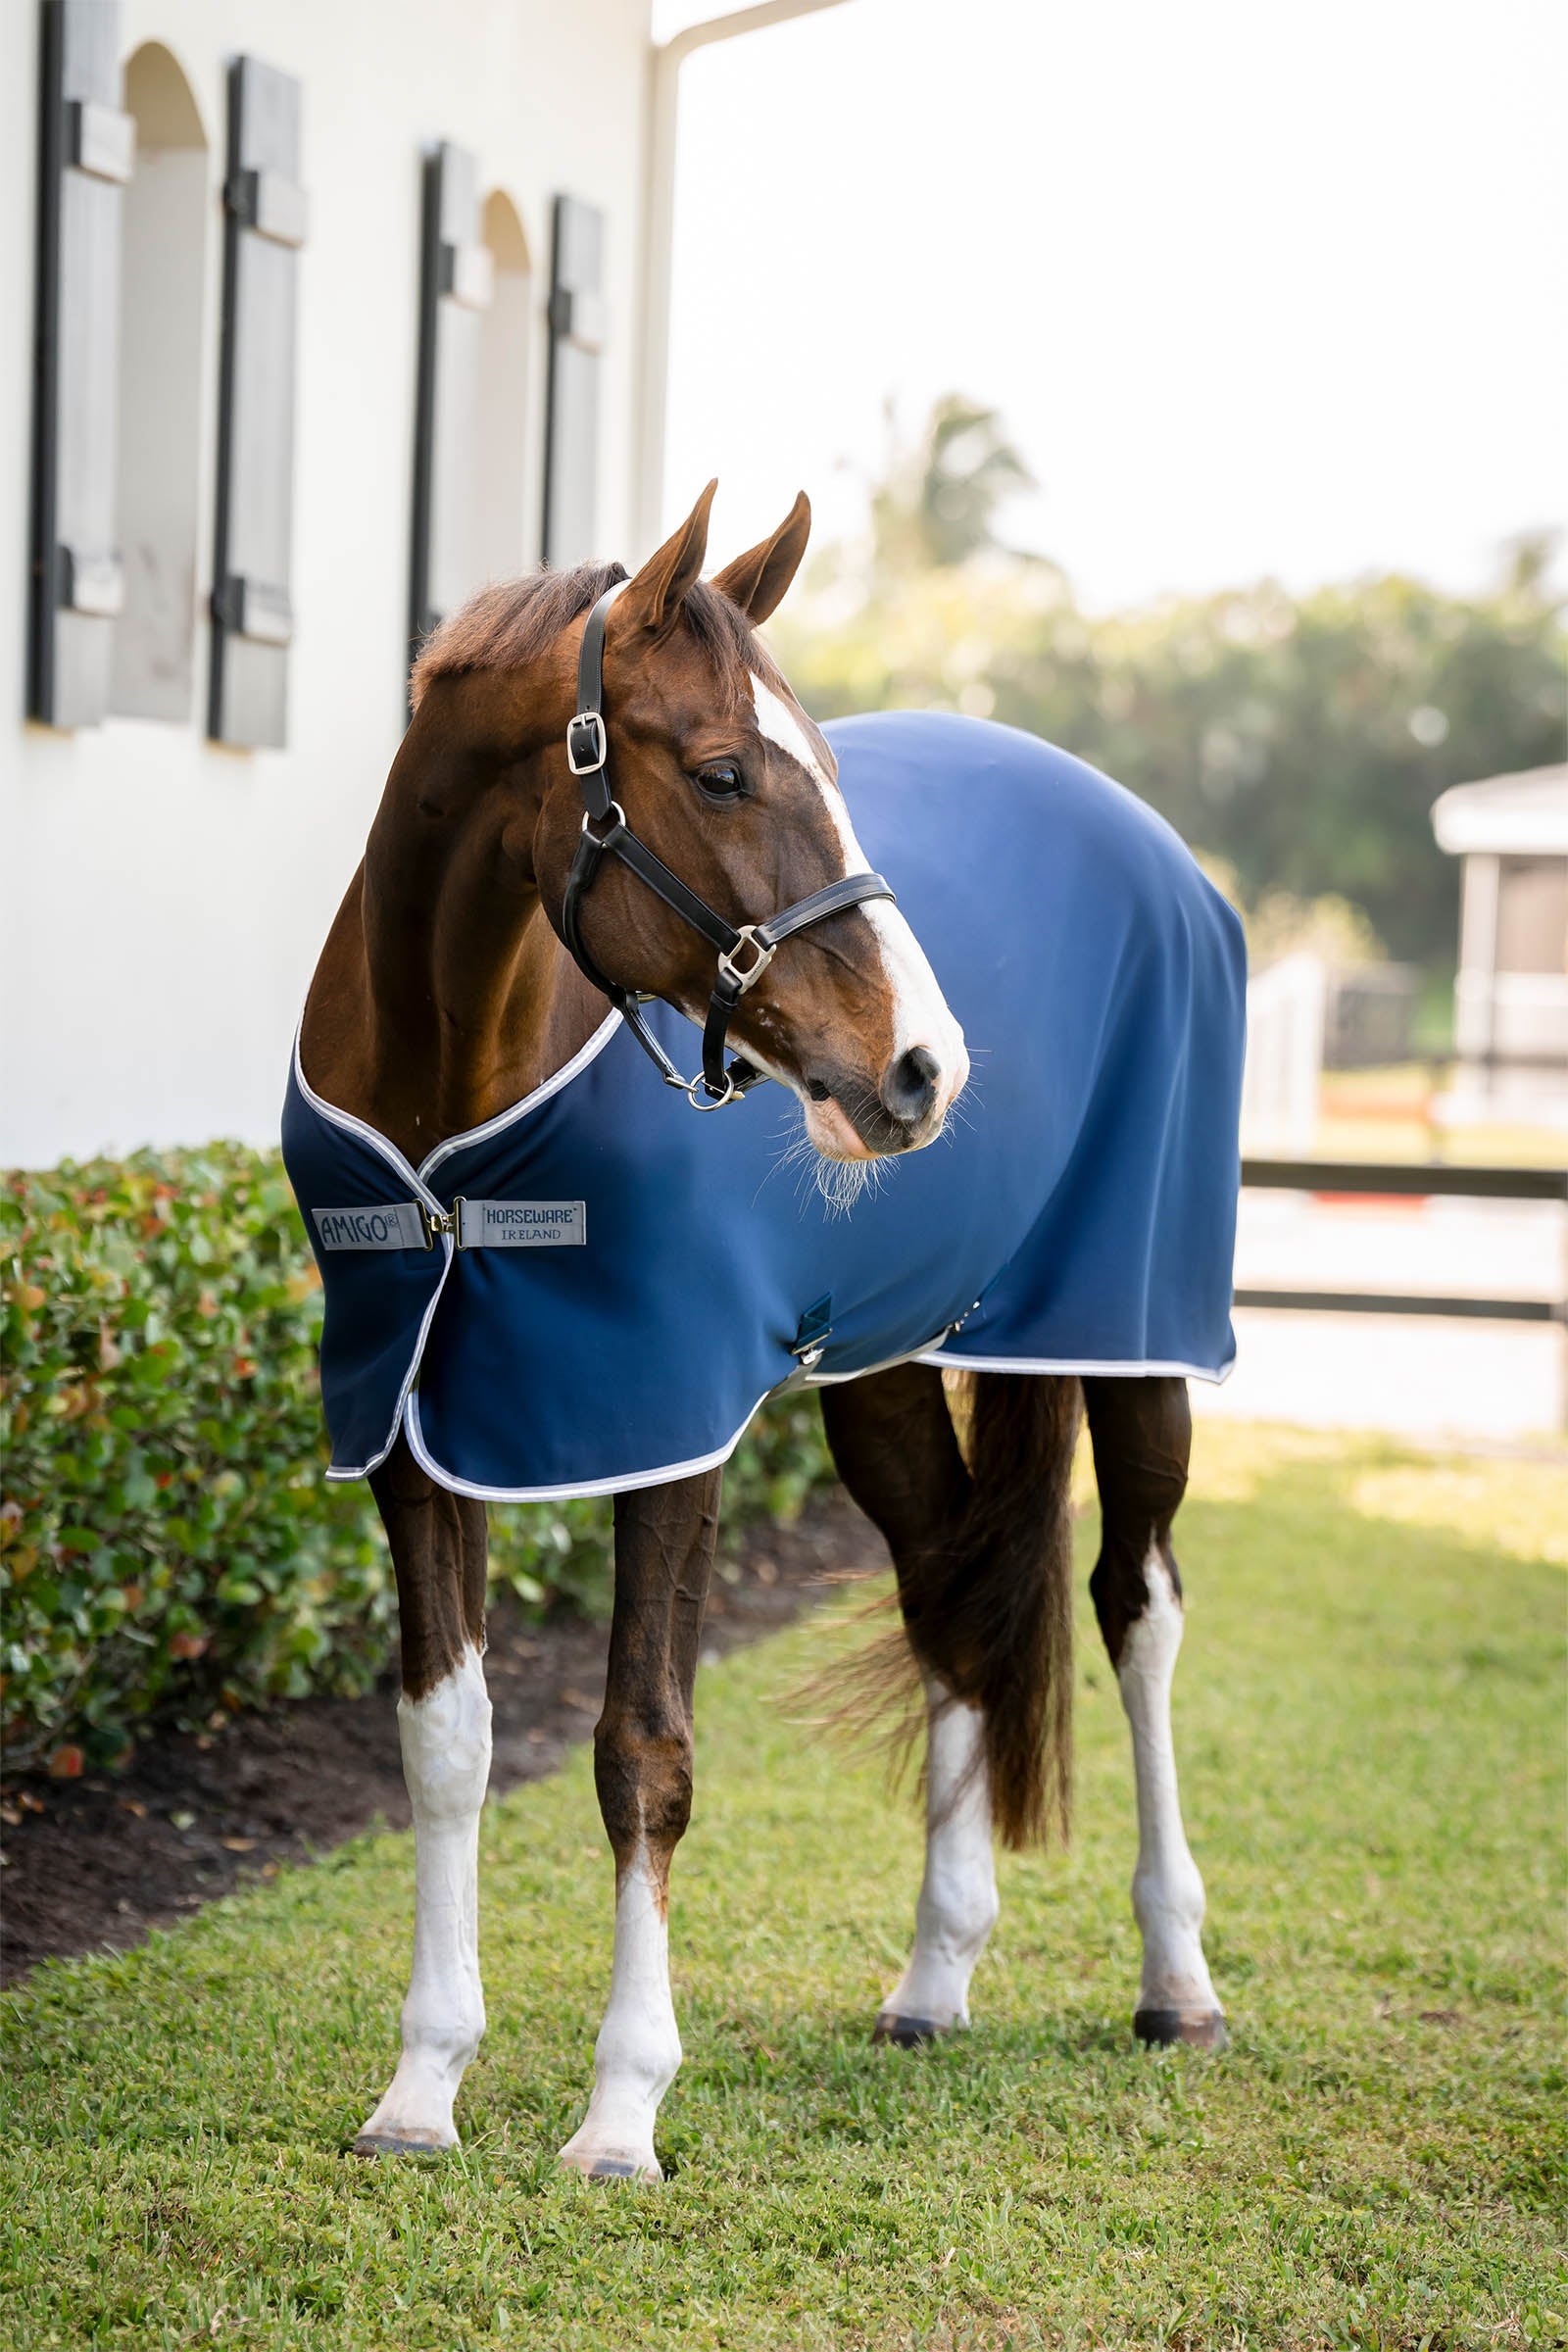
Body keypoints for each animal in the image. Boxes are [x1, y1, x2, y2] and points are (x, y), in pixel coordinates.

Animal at [288, 482, 1243, 2181]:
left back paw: (1175, 1981)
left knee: (1138, 1608)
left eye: (833, 775)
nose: (925, 1067)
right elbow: (445, 1743)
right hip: (886, 1374)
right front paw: (421, 2088)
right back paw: (933, 1979)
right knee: (953, 1596)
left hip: (1140, 1345)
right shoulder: (415, 1427)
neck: (449, 1094)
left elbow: (642, 1751)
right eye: (725, 770)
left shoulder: (663, 1416)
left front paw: (620, 2109)